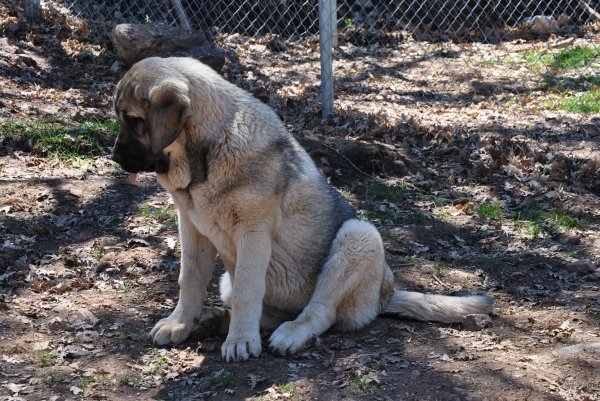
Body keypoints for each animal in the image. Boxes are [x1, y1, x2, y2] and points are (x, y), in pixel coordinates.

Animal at [111, 57, 492, 362]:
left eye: (133, 119)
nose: (113, 157)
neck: (207, 152)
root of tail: (386, 295)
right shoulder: (191, 226)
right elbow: (189, 279)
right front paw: (180, 323)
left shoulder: (252, 231)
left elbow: (248, 290)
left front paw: (240, 342)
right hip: (229, 280)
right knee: (267, 312)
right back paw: (215, 320)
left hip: (359, 236)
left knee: (318, 313)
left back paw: (288, 333)